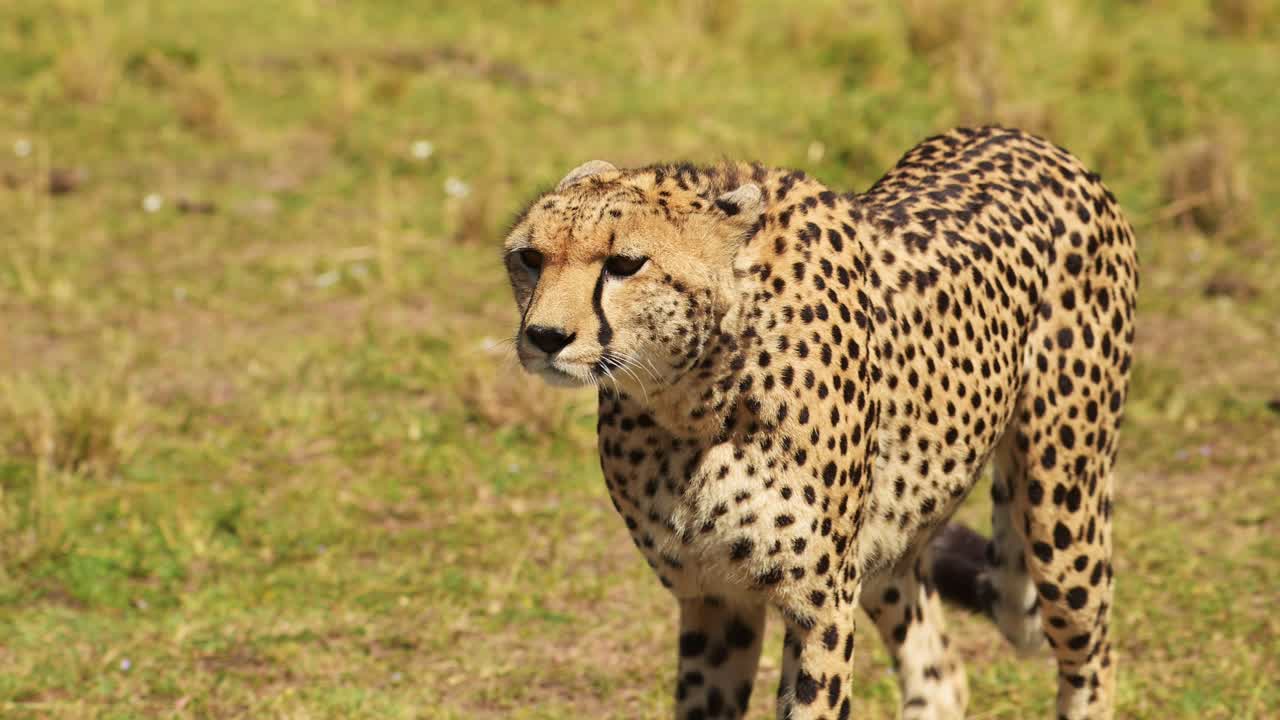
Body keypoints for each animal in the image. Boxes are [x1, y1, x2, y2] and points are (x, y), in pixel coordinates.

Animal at [501, 126, 1137, 720]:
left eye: (625, 264)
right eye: (529, 257)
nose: (545, 337)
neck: (693, 396)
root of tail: (1029, 140)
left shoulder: (819, 602)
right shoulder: (712, 596)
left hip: (1061, 510)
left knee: (1093, 658)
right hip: (889, 534)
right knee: (941, 672)